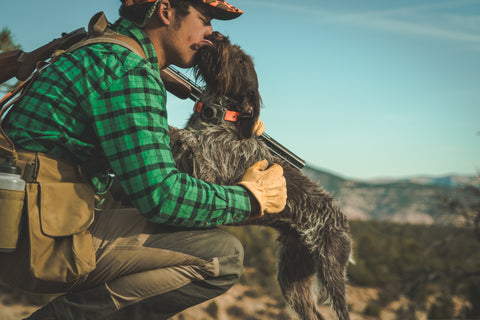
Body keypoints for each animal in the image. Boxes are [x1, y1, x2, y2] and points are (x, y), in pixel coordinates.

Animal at [169, 32, 352, 320]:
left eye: (241, 60)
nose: (217, 34)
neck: (217, 115)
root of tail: (344, 221)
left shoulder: (208, 176)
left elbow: (186, 138)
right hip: (293, 278)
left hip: (331, 272)